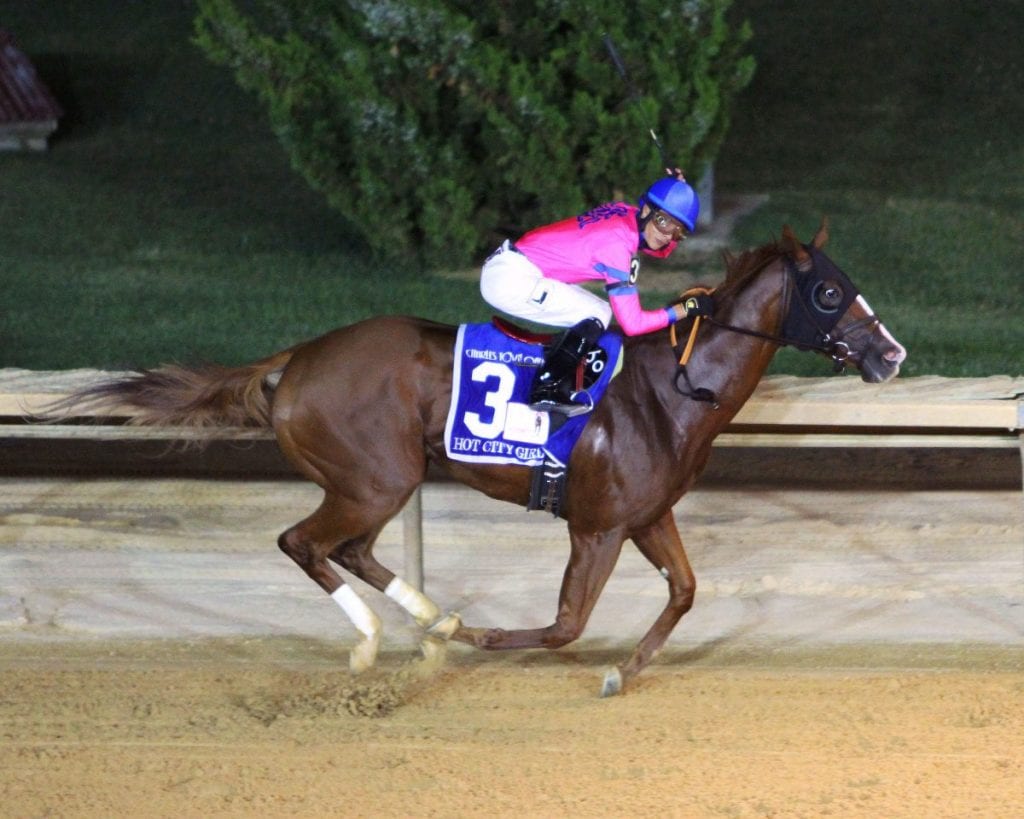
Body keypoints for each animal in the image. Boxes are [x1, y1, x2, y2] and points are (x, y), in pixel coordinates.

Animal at [59, 221, 905, 696]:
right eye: (829, 294)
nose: (892, 353)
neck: (672, 387)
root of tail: (296, 357)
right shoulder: (596, 526)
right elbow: (564, 625)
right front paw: (488, 642)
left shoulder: (645, 515)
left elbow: (686, 591)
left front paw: (621, 671)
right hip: (375, 479)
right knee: (304, 542)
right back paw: (375, 641)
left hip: (380, 481)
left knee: (351, 551)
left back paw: (432, 617)